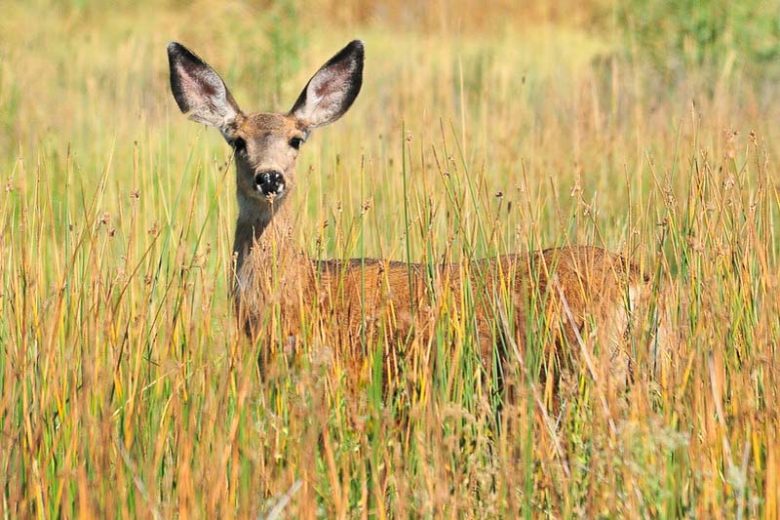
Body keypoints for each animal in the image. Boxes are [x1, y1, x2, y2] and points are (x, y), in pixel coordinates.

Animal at [167, 40, 658, 393]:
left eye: (296, 140)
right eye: (237, 141)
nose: (269, 178)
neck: (298, 290)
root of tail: (637, 279)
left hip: (592, 360)